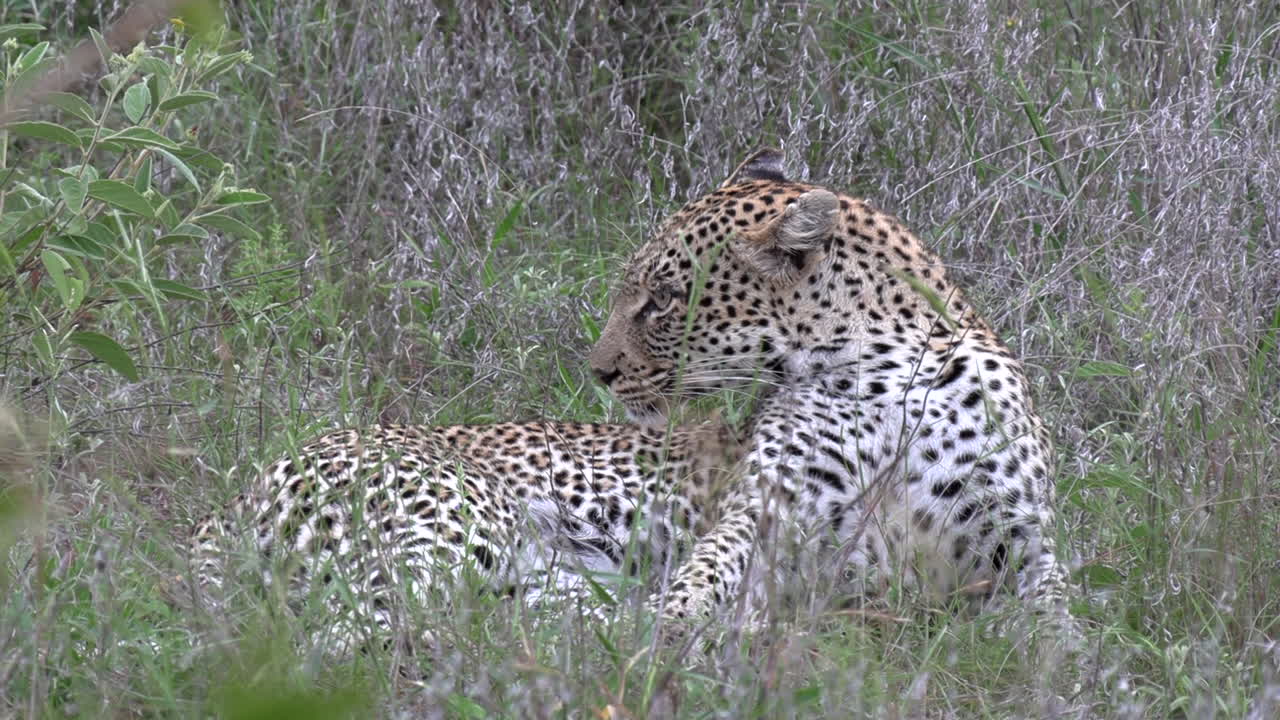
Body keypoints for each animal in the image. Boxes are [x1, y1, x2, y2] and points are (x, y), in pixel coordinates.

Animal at [587, 148, 1072, 629]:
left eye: (662, 299)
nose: (597, 372)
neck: (888, 373)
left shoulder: (1020, 537)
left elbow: (1056, 618)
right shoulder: (772, 500)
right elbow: (712, 564)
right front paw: (659, 625)